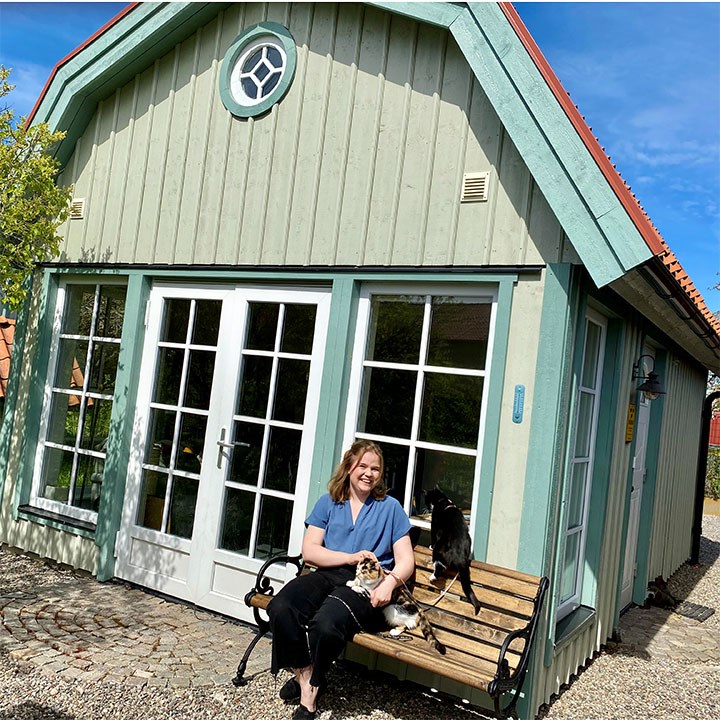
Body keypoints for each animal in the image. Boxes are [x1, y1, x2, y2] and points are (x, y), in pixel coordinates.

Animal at [424, 486, 480, 616]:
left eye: (426, 499)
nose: (426, 508)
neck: (441, 500)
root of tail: (461, 558)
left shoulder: (434, 524)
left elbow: (433, 536)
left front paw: (430, 545)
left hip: (439, 549)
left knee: (440, 567)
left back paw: (432, 577)